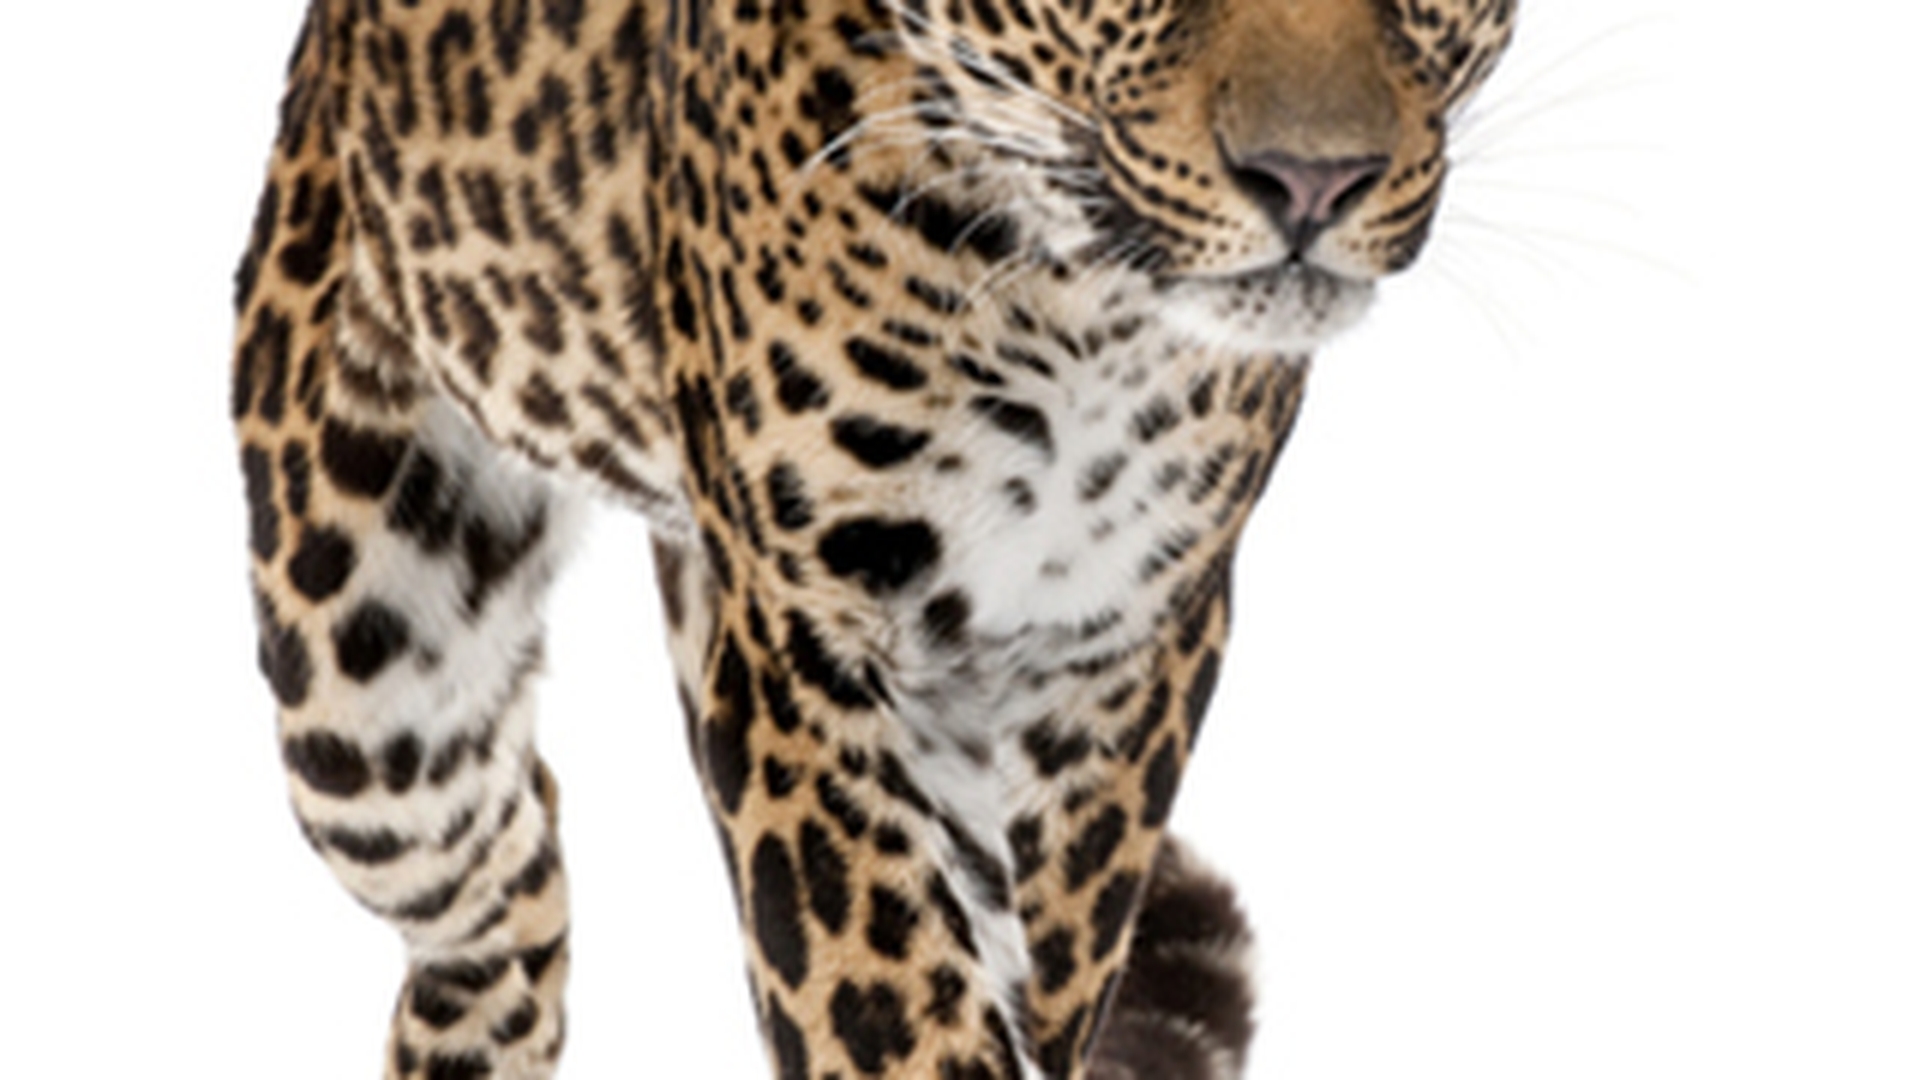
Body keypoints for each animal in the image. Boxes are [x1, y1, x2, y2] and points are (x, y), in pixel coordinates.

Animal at [230, 0, 1514, 1076]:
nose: (1313, 182)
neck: (1076, 309)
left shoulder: (1121, 648)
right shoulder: (808, 647)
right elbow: (888, 1000)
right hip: (370, 700)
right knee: (503, 893)